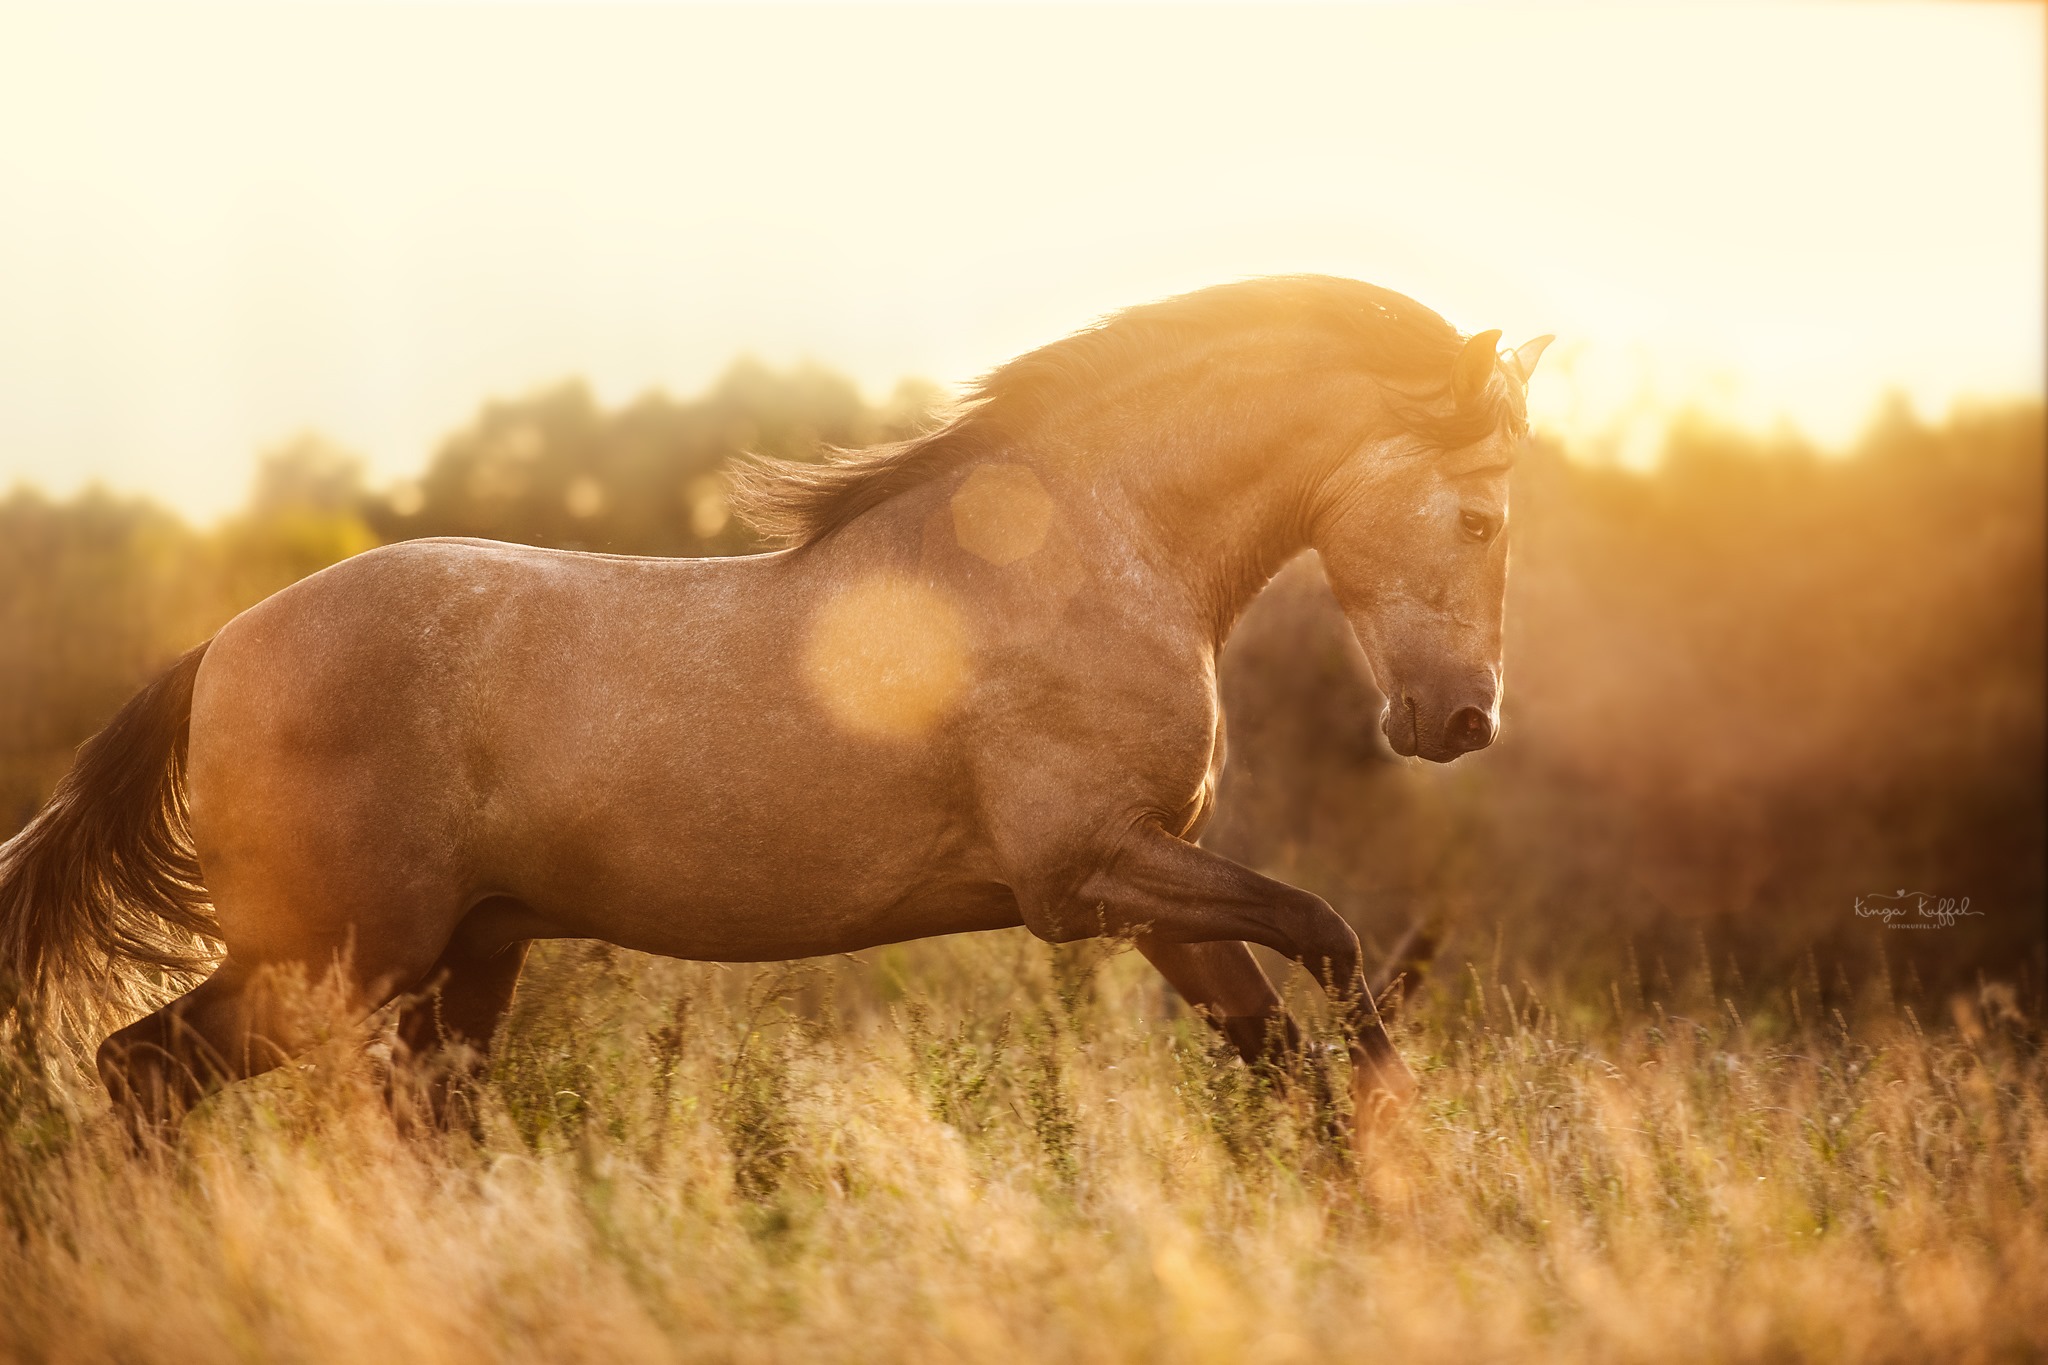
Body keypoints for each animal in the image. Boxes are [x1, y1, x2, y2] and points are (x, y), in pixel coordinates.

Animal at [0, 274, 1540, 1129]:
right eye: (1477, 515)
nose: (1461, 722)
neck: (1092, 547)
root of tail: (220, 650)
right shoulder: (1093, 874)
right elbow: (1331, 937)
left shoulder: (1155, 898)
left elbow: (1279, 1055)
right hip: (333, 963)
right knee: (140, 1074)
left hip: (458, 965)